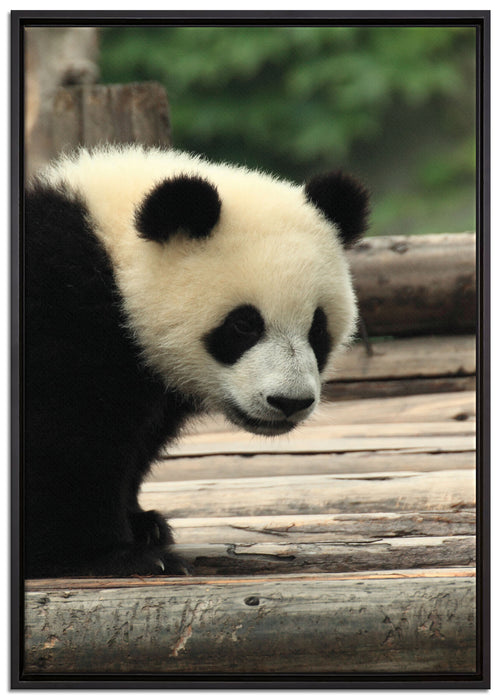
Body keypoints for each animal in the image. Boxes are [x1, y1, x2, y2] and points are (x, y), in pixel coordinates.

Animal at [24, 145, 369, 578]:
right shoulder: (58, 315)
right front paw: (111, 555)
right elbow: (62, 438)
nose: (289, 402)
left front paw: (144, 524)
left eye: (318, 328)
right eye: (243, 324)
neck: (113, 261)